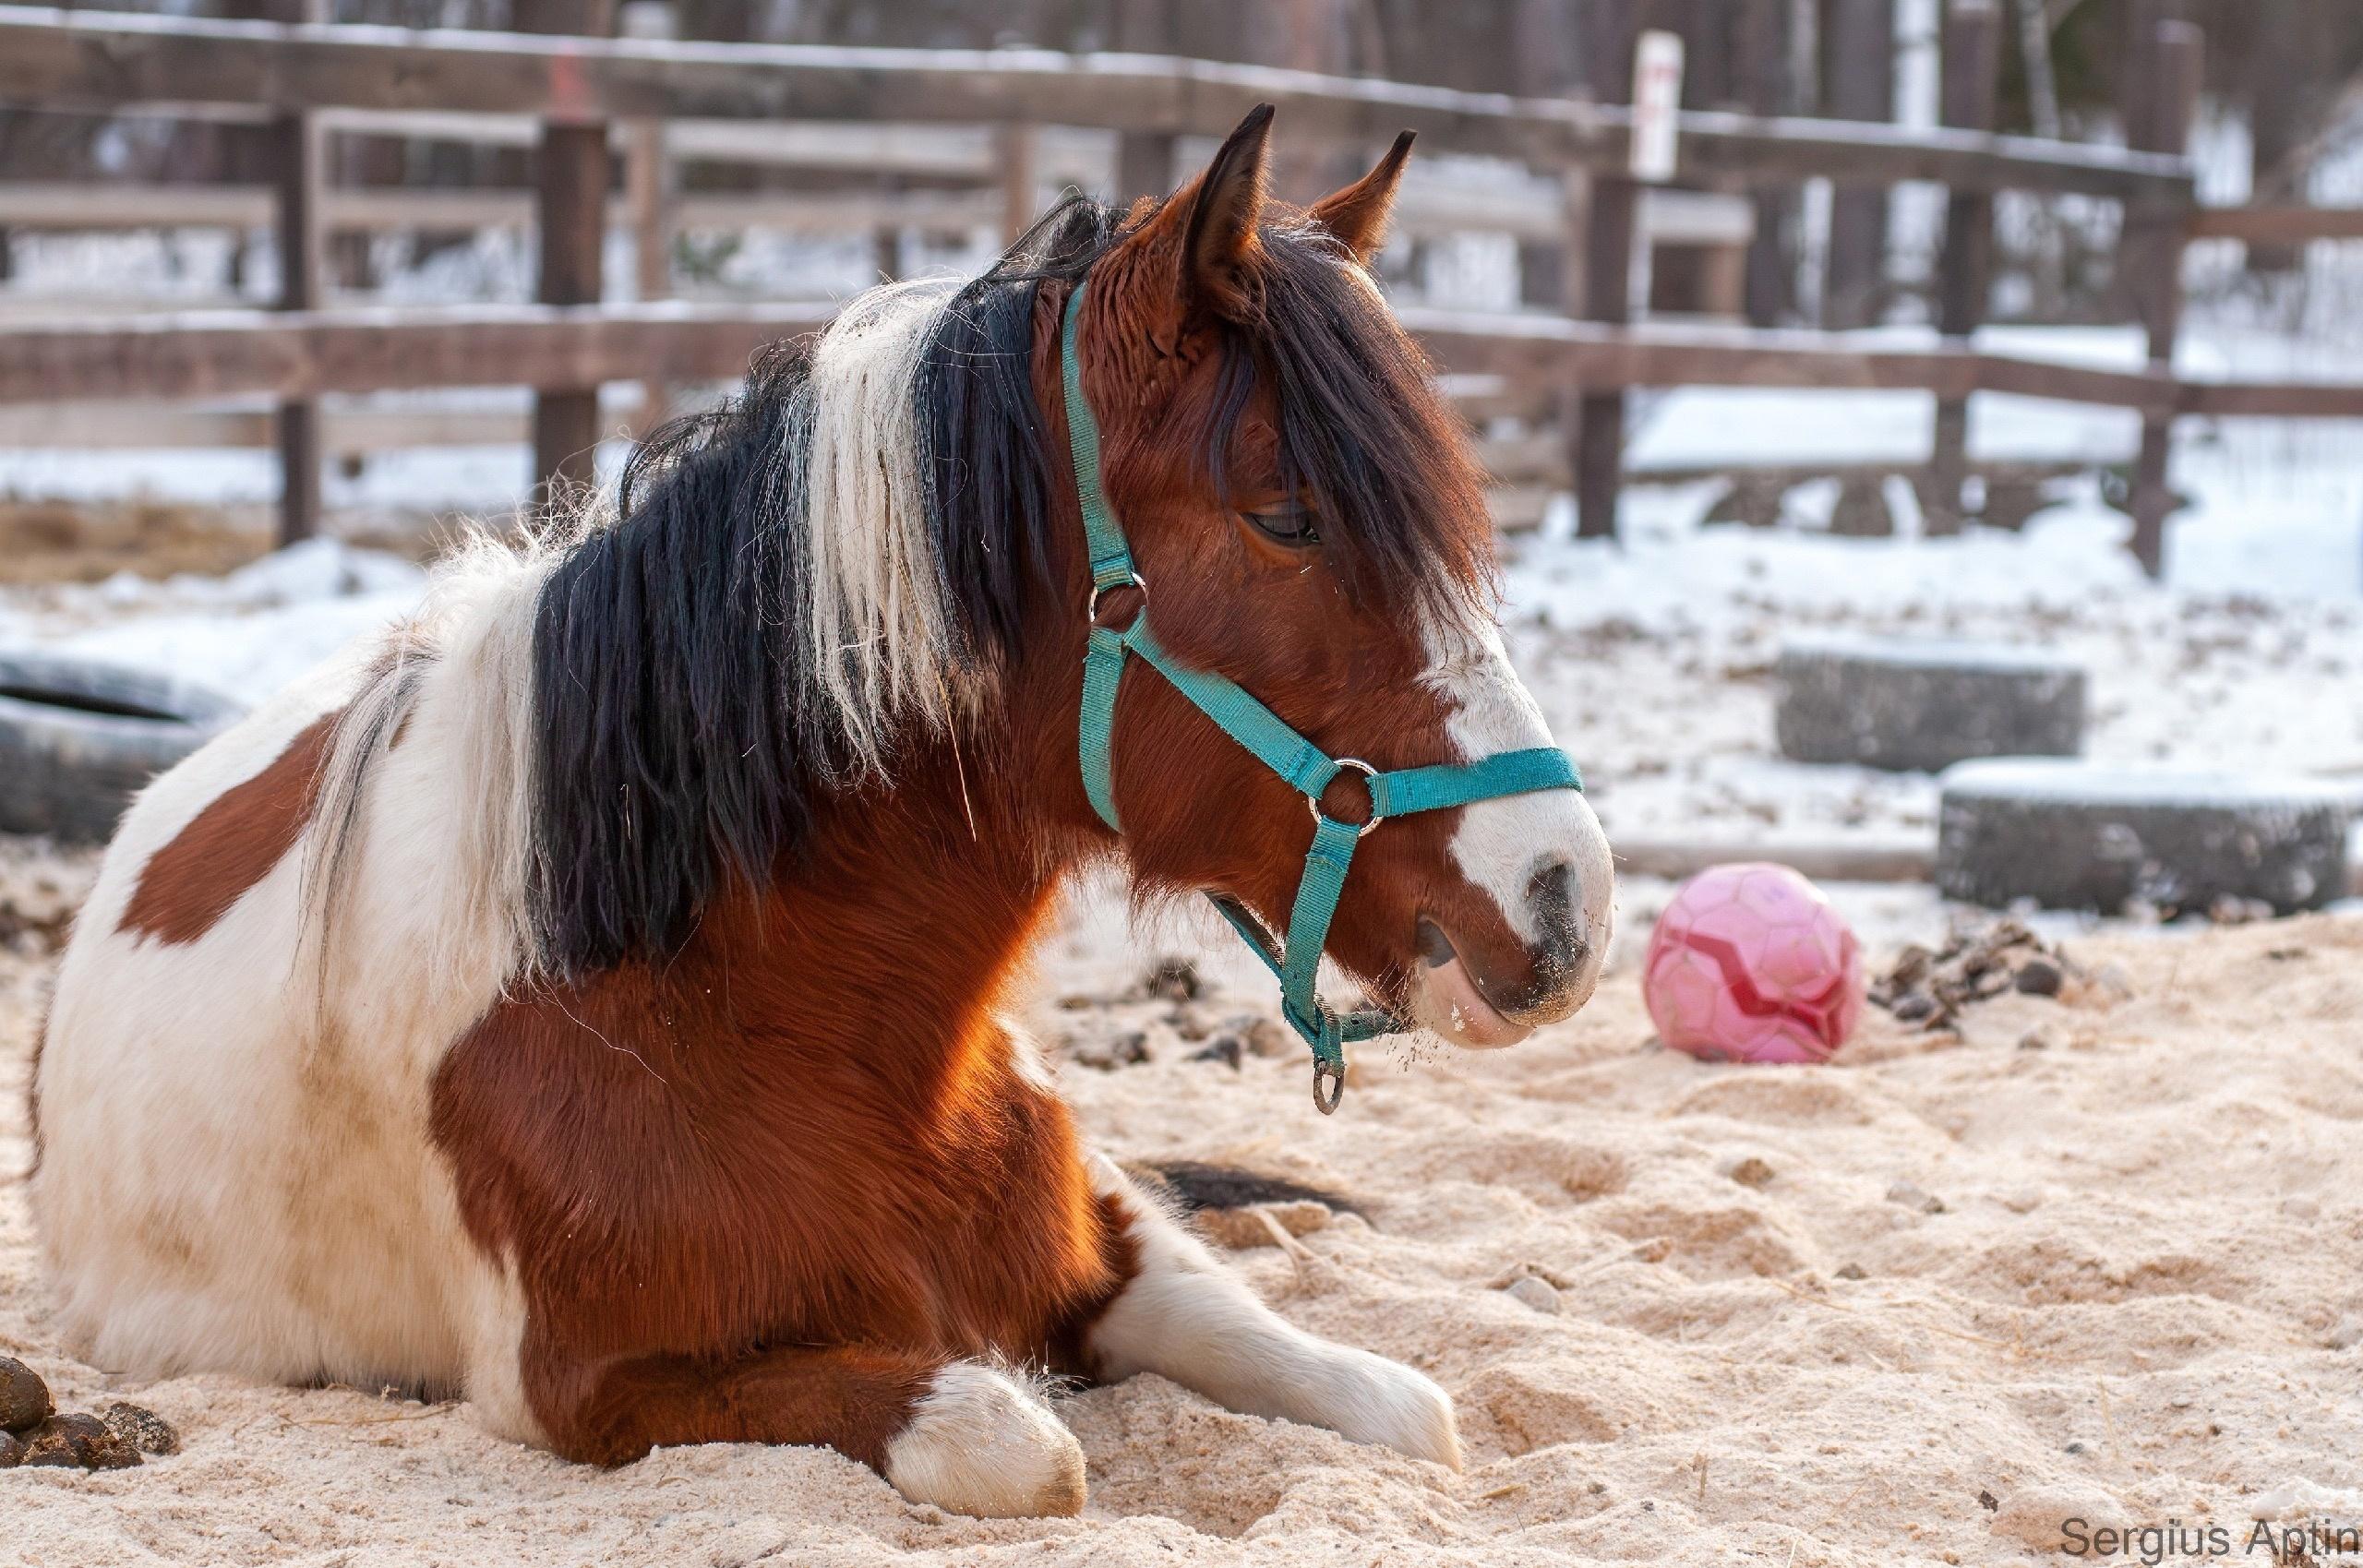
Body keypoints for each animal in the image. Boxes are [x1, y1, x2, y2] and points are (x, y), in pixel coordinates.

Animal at [37, 113, 1616, 1520]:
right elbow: (1019, 1441)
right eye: (1286, 514)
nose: (1567, 906)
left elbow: (1403, 1405)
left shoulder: (1105, 1245)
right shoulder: (599, 1387)